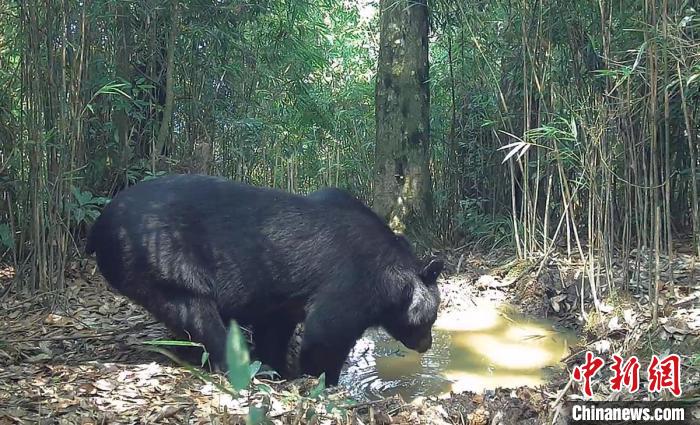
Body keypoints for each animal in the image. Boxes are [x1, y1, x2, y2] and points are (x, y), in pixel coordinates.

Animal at [85, 174, 440, 382]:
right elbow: (326, 333)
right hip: (165, 267)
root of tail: (100, 227)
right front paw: (318, 378)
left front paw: (281, 367)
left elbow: (275, 327)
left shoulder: (281, 297)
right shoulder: (352, 283)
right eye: (432, 318)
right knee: (199, 316)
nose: (427, 345)